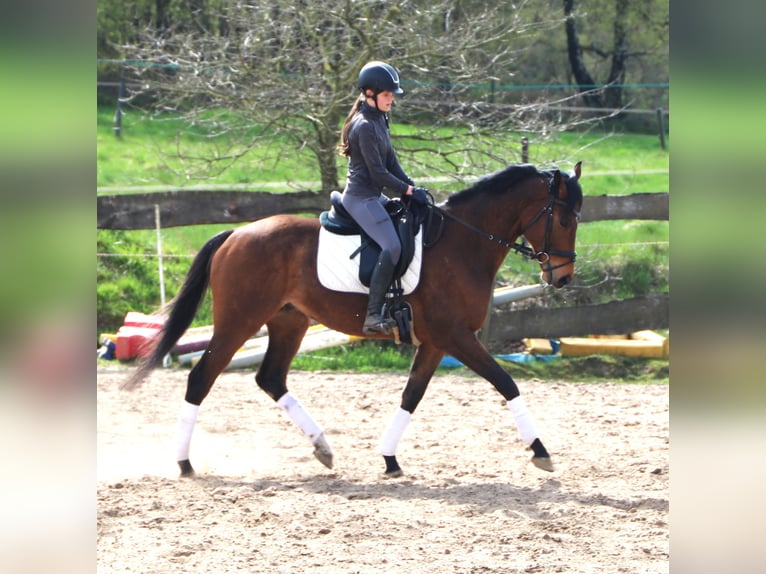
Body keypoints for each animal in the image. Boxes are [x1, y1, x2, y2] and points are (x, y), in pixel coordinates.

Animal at [125, 161, 583, 478]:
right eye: (564, 218)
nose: (562, 277)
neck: (462, 243)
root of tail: (235, 234)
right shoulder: (457, 337)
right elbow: (506, 383)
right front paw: (540, 450)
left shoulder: (437, 342)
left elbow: (411, 396)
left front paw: (390, 458)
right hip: (239, 322)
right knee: (201, 378)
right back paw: (184, 463)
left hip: (289, 322)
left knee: (270, 378)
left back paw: (323, 448)